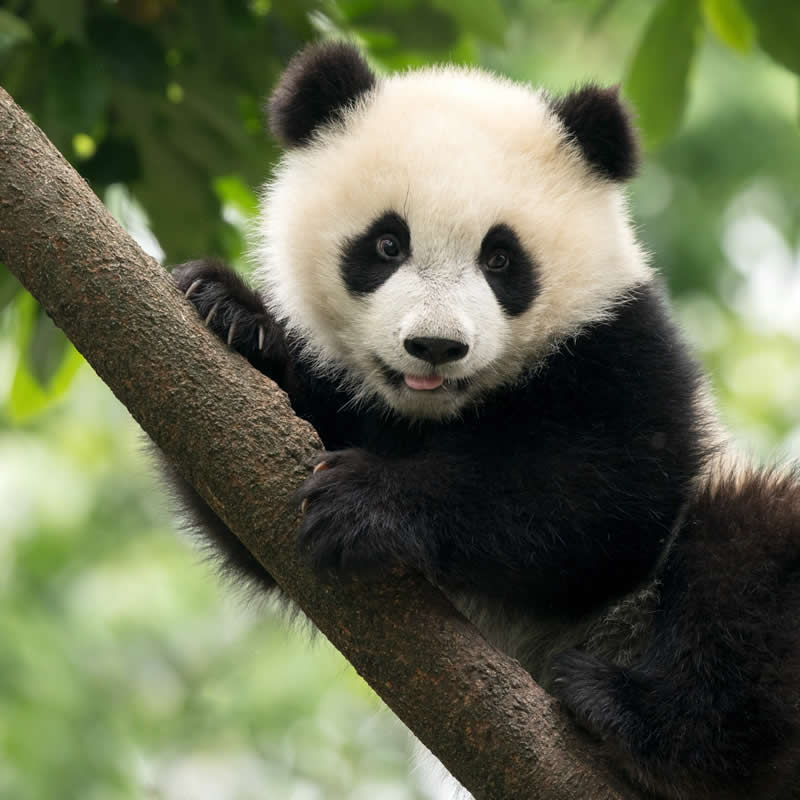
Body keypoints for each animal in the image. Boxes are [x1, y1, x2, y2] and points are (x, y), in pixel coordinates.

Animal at [167, 41, 800, 800]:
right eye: (387, 245)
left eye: (500, 259)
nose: (435, 346)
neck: (439, 413)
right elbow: (244, 504)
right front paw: (230, 313)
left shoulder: (622, 347)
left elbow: (608, 500)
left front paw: (367, 502)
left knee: (746, 551)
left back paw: (636, 718)